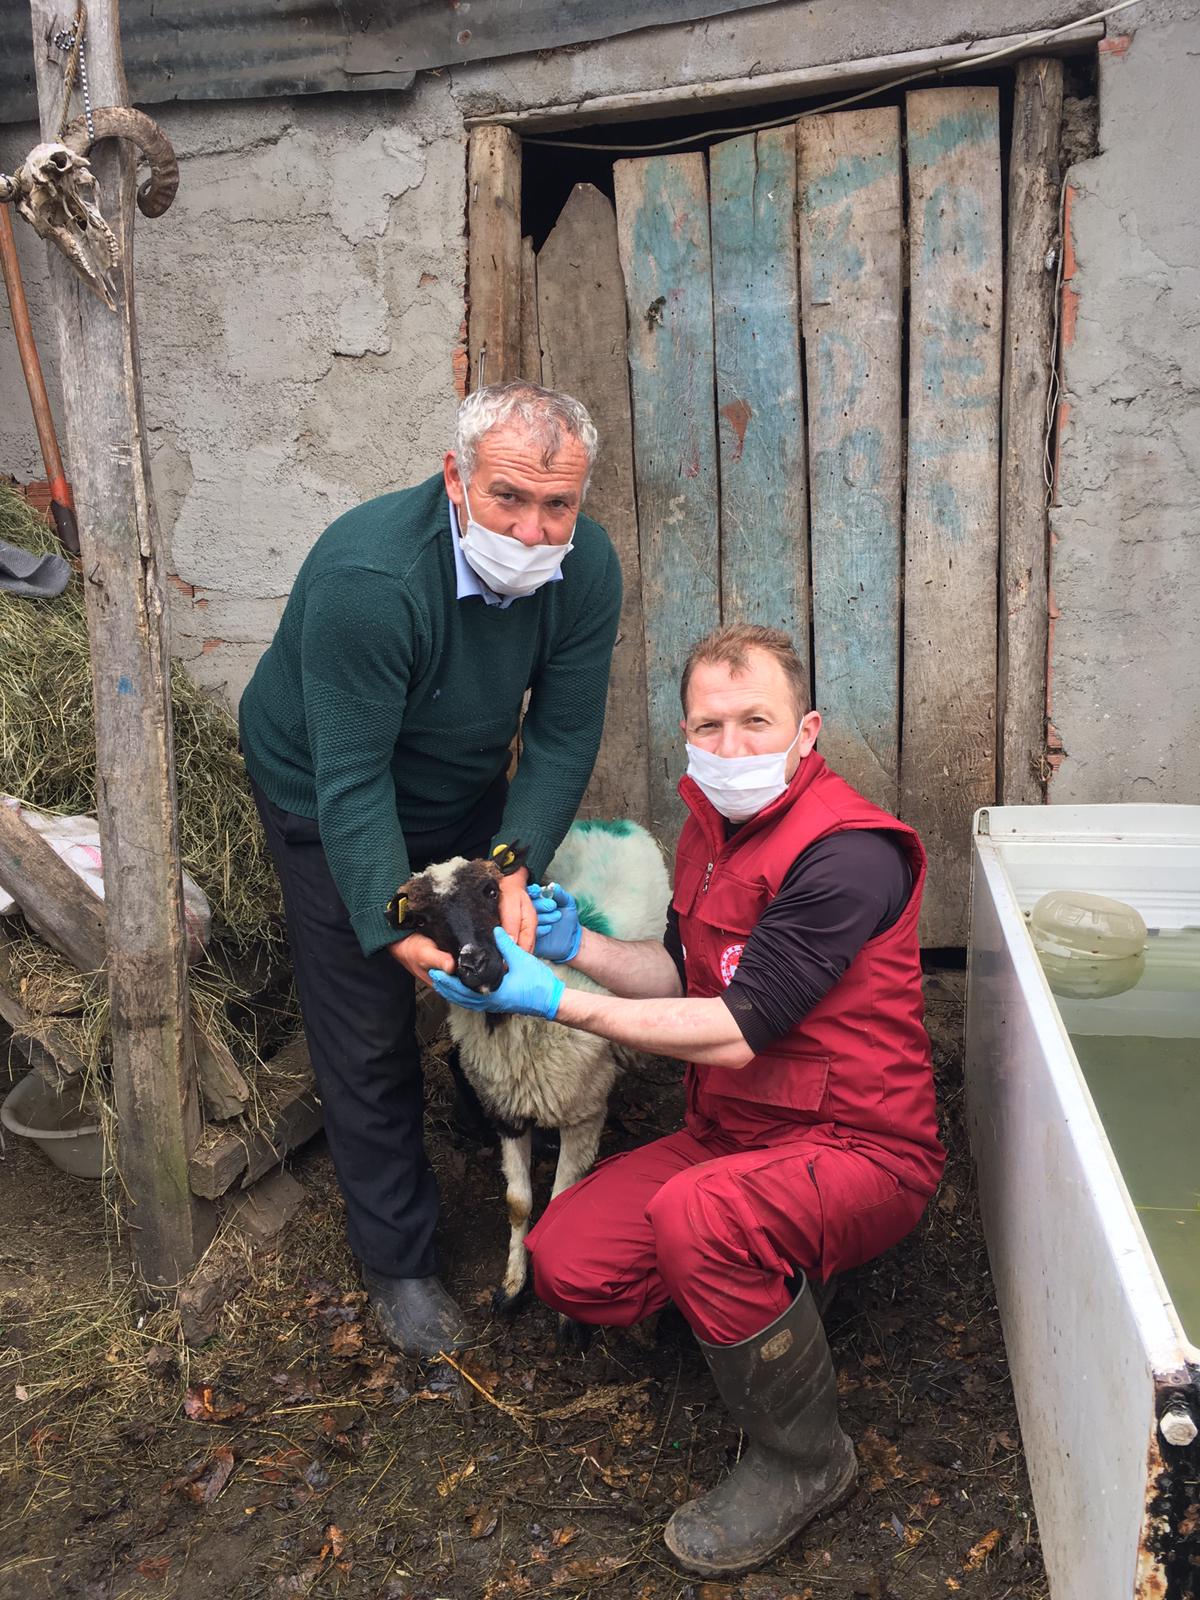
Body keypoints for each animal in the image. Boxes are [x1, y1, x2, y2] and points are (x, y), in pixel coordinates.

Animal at [394, 819, 671, 1314]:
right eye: (421, 922)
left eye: (490, 890)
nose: (475, 963)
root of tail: (610, 822)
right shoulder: (506, 1111)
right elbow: (518, 1202)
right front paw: (512, 1285)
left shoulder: (583, 1115)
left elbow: (561, 1202)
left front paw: (564, 1314)